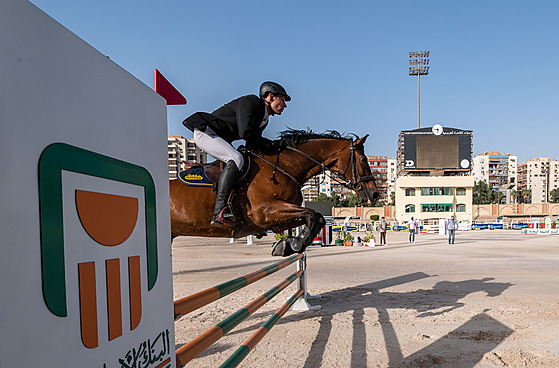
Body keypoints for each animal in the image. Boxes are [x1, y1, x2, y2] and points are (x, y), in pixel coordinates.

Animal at [171, 129, 380, 256]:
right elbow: (313, 214)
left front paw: (288, 244)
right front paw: (294, 244)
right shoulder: (264, 213)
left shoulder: (277, 219)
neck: (284, 167)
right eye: (363, 159)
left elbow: (317, 217)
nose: (375, 194)